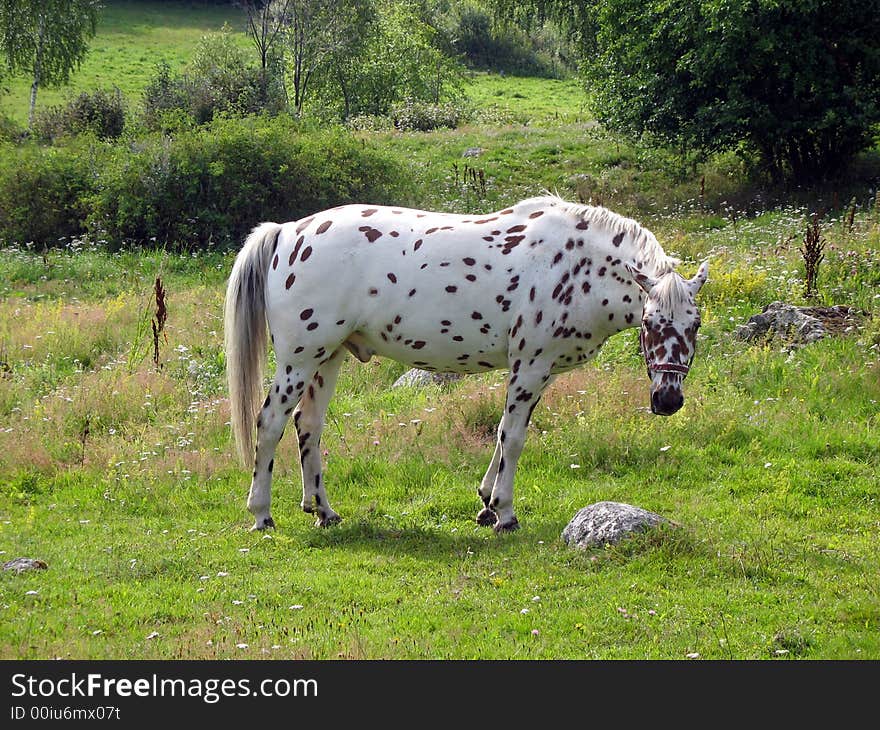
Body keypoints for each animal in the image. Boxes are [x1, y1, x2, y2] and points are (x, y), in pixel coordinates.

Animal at [225, 196, 708, 532]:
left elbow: (501, 433)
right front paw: (505, 514)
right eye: (650, 321)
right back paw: (262, 514)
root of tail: (288, 231)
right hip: (299, 360)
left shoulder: (536, 373)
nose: (668, 400)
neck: (574, 266)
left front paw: (486, 503)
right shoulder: (530, 367)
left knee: (308, 424)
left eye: (696, 324)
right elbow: (514, 438)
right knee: (270, 423)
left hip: (329, 358)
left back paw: (322, 510)